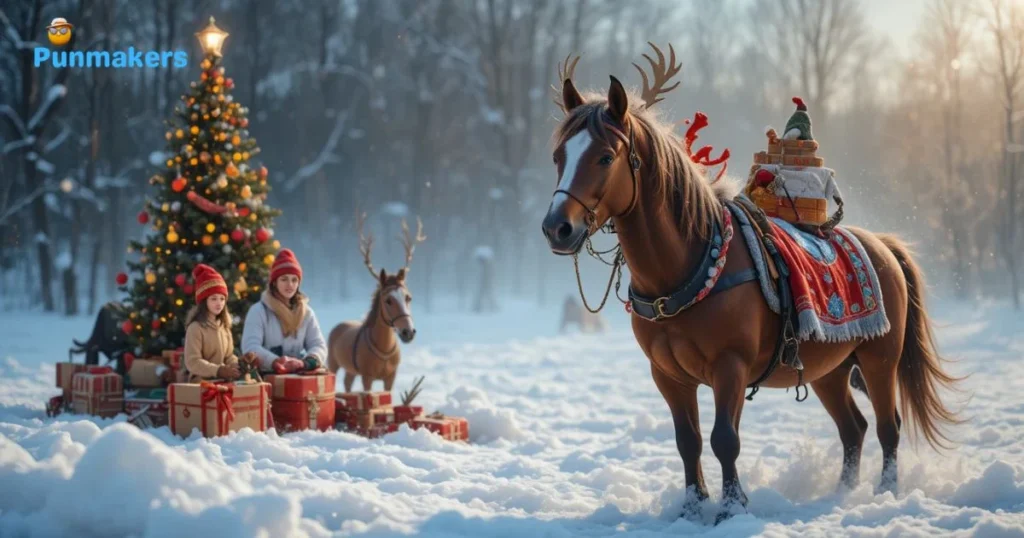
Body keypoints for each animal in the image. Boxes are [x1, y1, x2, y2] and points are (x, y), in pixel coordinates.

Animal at [327, 213, 425, 393]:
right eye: (388, 300)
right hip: (333, 362)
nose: (408, 332)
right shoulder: (367, 377)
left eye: (409, 297)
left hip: (351, 370)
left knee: (347, 382)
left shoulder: (390, 377)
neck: (384, 351)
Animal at [539, 44, 962, 518]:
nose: (557, 228)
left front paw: (731, 508)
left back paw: (885, 493)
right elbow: (688, 441)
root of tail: (883, 245)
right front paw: (692, 508)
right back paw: (841, 493)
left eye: (605, 156)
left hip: (879, 358)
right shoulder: (667, 374)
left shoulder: (731, 365)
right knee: (853, 428)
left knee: (889, 427)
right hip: (829, 368)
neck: (685, 268)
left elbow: (725, 439)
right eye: (559, 156)